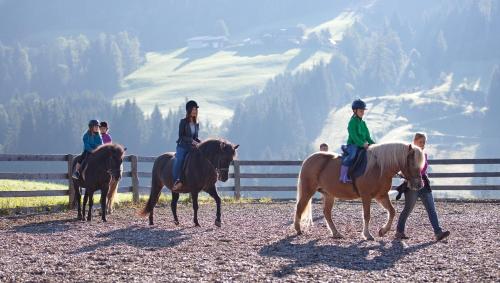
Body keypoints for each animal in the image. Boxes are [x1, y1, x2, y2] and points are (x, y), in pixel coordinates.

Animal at [294, 143, 424, 241]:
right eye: (412, 162)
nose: (419, 184)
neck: (379, 167)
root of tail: (308, 159)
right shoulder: (366, 196)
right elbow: (367, 215)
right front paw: (367, 235)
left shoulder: (381, 196)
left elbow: (392, 211)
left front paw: (383, 231)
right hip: (308, 190)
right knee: (300, 207)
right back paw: (298, 229)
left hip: (329, 194)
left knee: (326, 213)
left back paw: (336, 233)